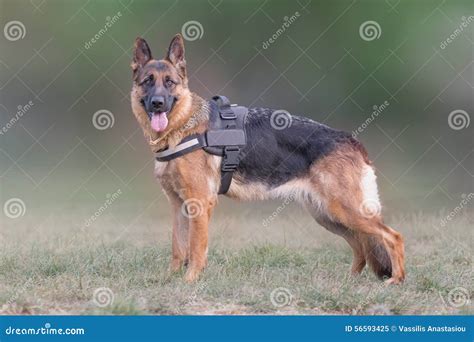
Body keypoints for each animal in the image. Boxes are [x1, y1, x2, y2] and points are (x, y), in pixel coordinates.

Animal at [131, 34, 406, 284]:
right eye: (147, 82)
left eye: (170, 83)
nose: (157, 103)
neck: (182, 127)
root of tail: (351, 140)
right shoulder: (178, 205)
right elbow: (178, 248)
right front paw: (170, 279)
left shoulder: (199, 203)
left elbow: (196, 248)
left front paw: (190, 281)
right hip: (329, 216)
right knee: (360, 245)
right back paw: (349, 281)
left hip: (344, 211)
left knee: (393, 236)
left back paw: (397, 280)